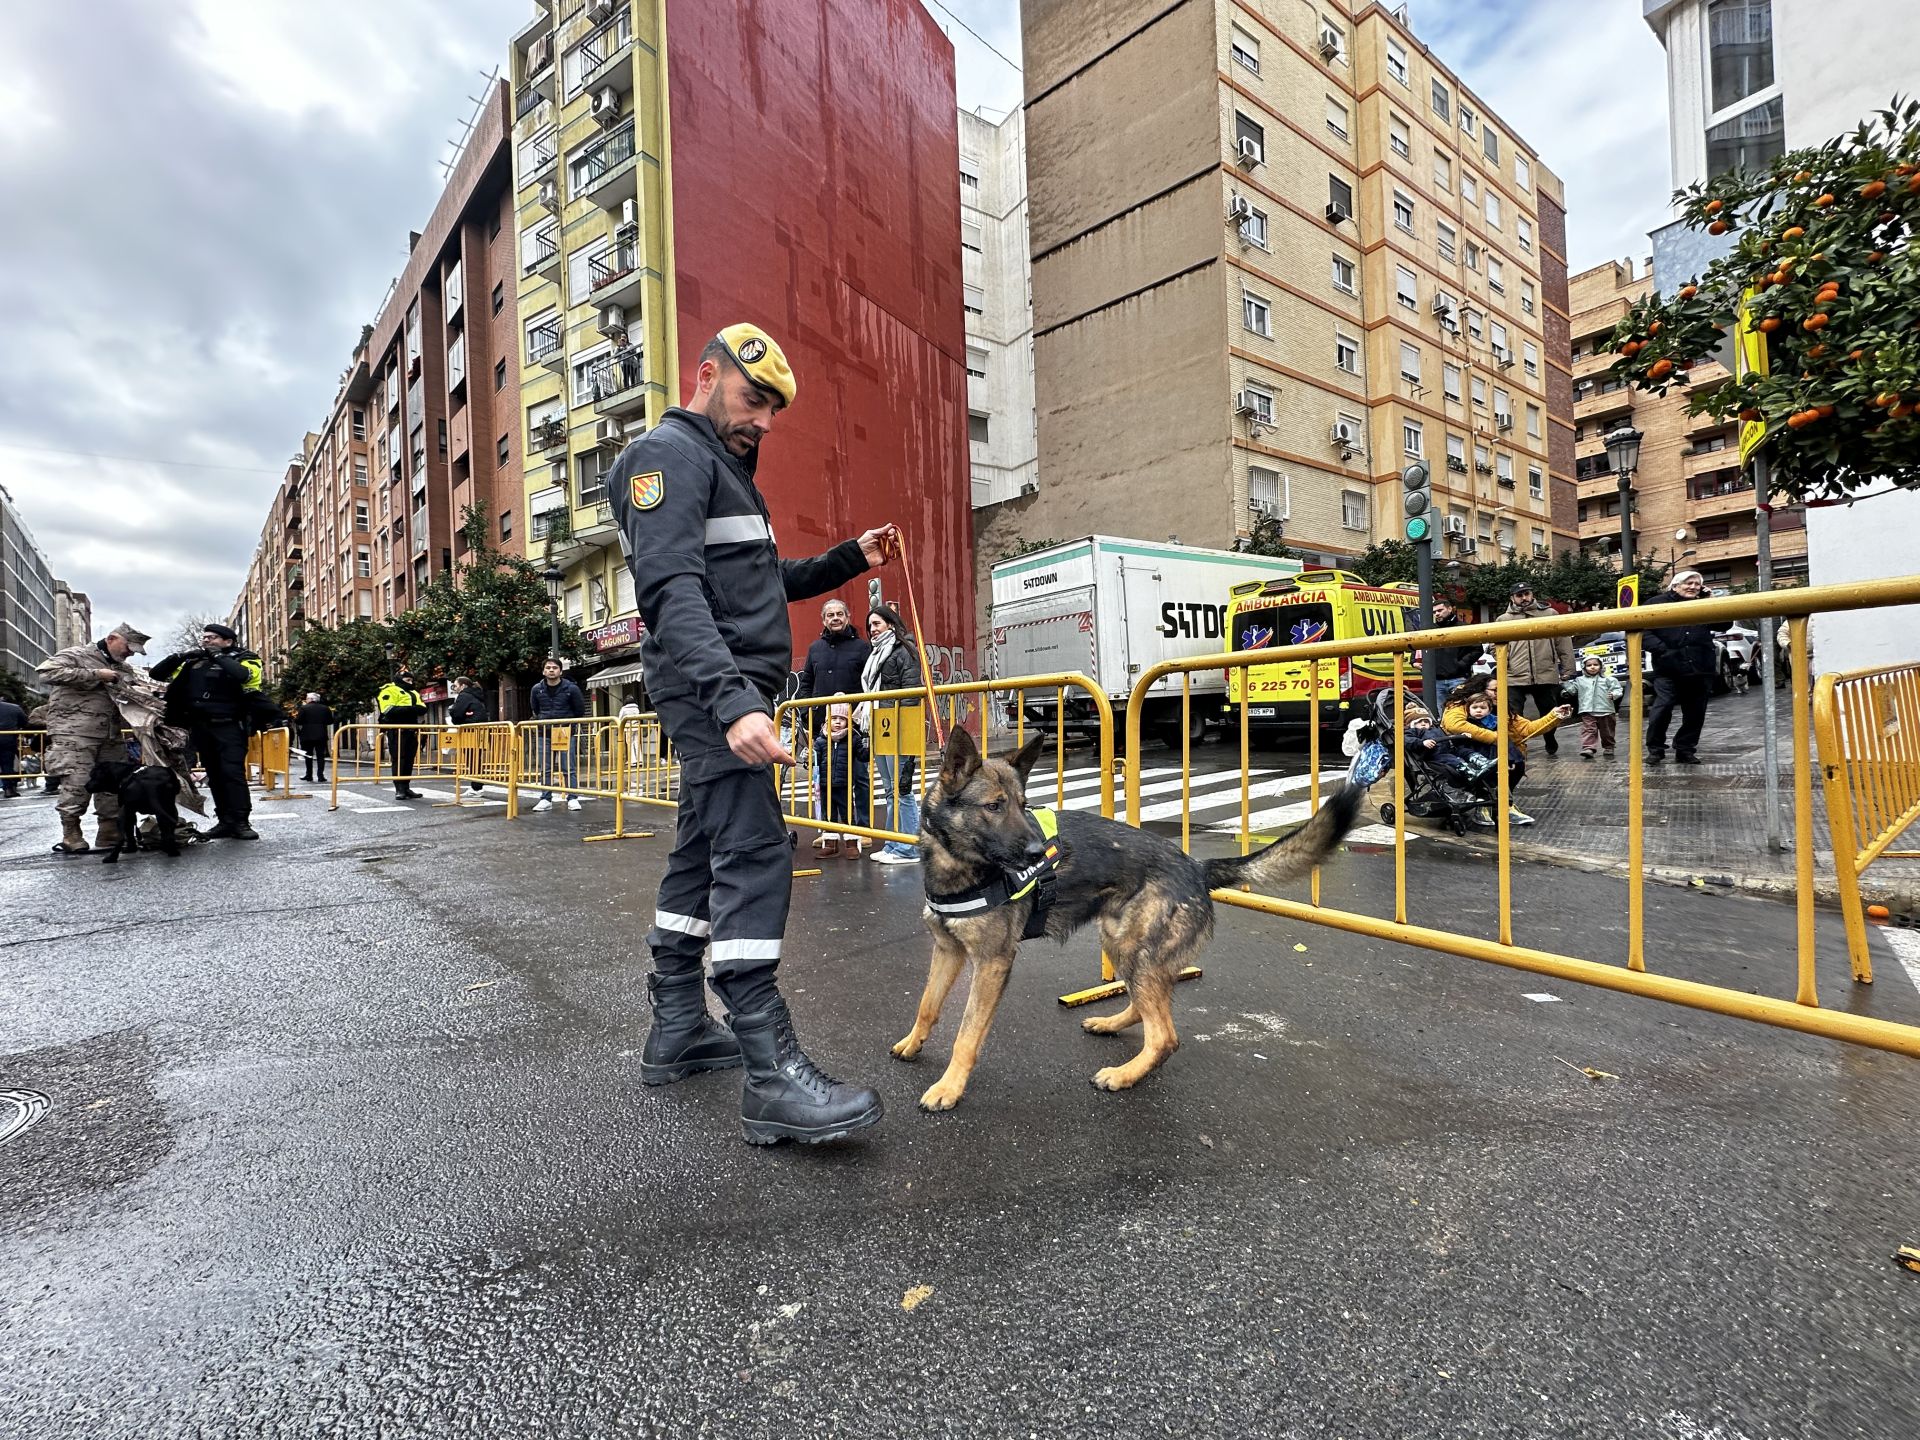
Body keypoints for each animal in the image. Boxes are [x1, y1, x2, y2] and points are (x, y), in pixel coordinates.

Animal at [890, 733, 1359, 1113]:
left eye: (1023, 807)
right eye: (993, 807)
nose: (1041, 852)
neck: (957, 865)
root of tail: (1197, 868)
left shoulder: (992, 963)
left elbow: (966, 1034)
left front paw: (949, 1088)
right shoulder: (947, 951)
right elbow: (927, 1005)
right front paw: (913, 1044)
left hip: (1133, 948)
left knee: (1164, 1035)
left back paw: (1124, 1075)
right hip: (1121, 943)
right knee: (1148, 1006)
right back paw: (1110, 1023)